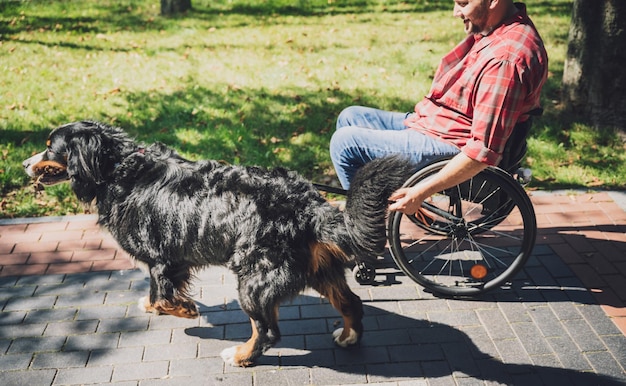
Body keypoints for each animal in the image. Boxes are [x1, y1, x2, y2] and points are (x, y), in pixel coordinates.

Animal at [23, 122, 414, 366]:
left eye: (49, 149)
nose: (24, 163)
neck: (117, 168)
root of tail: (310, 205)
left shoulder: (162, 257)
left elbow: (163, 295)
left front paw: (184, 310)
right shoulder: (172, 259)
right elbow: (157, 292)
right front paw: (158, 304)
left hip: (254, 280)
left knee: (267, 331)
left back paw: (241, 356)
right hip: (320, 271)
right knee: (351, 303)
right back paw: (348, 337)